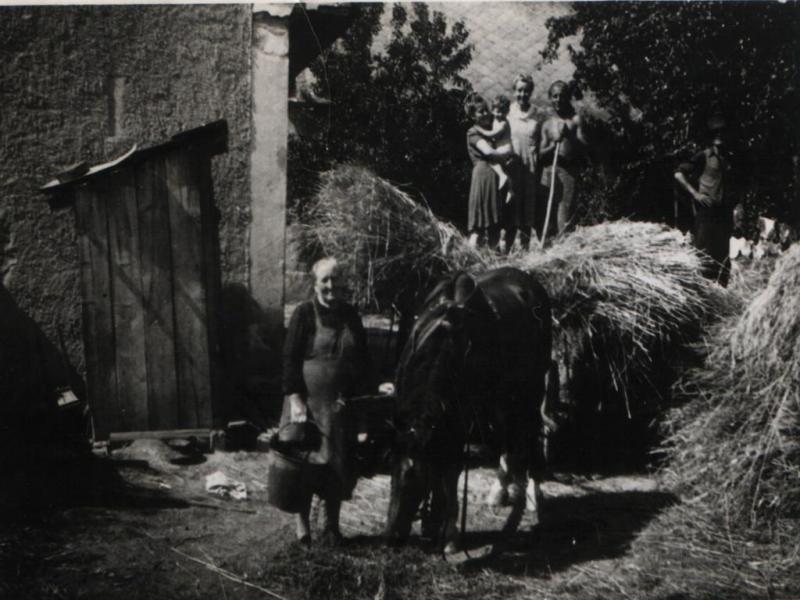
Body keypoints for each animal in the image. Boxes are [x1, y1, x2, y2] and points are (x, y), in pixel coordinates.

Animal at [386, 268, 552, 552]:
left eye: (415, 479)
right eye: (392, 475)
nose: (391, 538)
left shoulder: (458, 422)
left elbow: (451, 472)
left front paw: (450, 535)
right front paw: (433, 523)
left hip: (532, 390)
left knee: (532, 432)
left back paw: (534, 493)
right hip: (501, 398)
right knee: (507, 436)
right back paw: (499, 490)